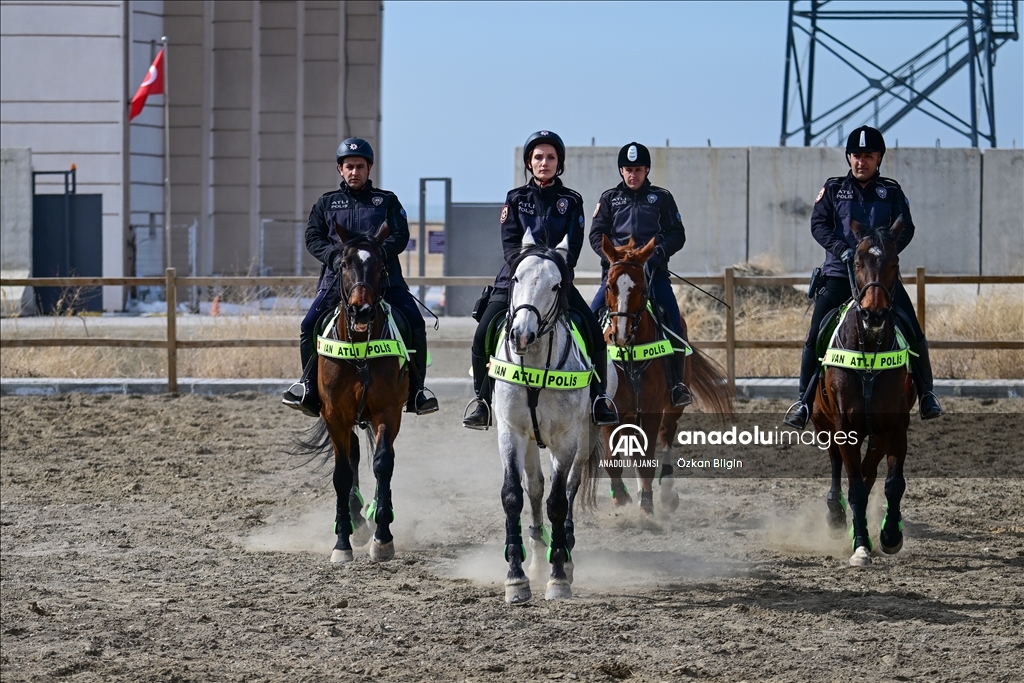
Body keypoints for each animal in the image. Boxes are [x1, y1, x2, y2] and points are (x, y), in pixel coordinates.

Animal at [294, 222, 405, 565]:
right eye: (343, 264)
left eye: (381, 266)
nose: (362, 311)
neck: (359, 353)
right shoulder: (334, 416)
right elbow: (342, 474)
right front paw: (342, 542)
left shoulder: (388, 412)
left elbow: (383, 464)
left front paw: (383, 538)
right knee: (353, 454)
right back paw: (356, 521)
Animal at [489, 233, 606, 602]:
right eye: (515, 278)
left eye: (556, 285)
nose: (521, 335)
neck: (536, 366)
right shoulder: (511, 432)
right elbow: (514, 495)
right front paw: (516, 579)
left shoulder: (566, 439)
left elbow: (558, 502)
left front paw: (558, 579)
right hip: (529, 441)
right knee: (535, 487)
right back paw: (538, 558)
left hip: (584, 440)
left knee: (568, 488)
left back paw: (564, 556)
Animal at [598, 237, 737, 516]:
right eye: (609, 285)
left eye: (642, 287)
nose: (620, 335)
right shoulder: (610, 409)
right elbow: (612, 460)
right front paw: (621, 496)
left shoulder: (651, 408)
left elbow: (647, 459)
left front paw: (647, 506)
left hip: (673, 405)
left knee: (666, 435)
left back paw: (666, 493)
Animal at [811, 218, 917, 565]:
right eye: (857, 262)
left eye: (894, 262)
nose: (874, 314)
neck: (869, 351)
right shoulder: (845, 427)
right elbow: (855, 486)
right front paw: (860, 544)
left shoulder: (895, 427)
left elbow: (893, 483)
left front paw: (890, 535)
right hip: (822, 421)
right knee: (837, 463)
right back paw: (836, 513)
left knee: (869, 470)